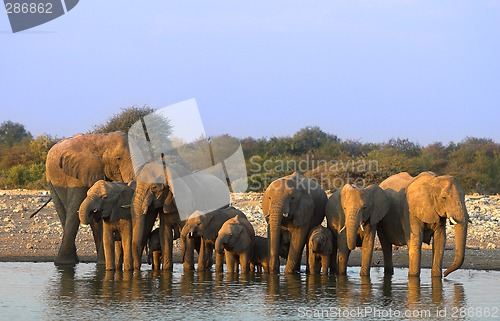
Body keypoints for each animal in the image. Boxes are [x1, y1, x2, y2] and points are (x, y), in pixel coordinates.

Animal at [45, 131, 134, 264]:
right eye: (118, 158)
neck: (102, 140)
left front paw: (102, 264)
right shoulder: (77, 174)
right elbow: (75, 209)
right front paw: (65, 263)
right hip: (51, 181)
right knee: (63, 212)